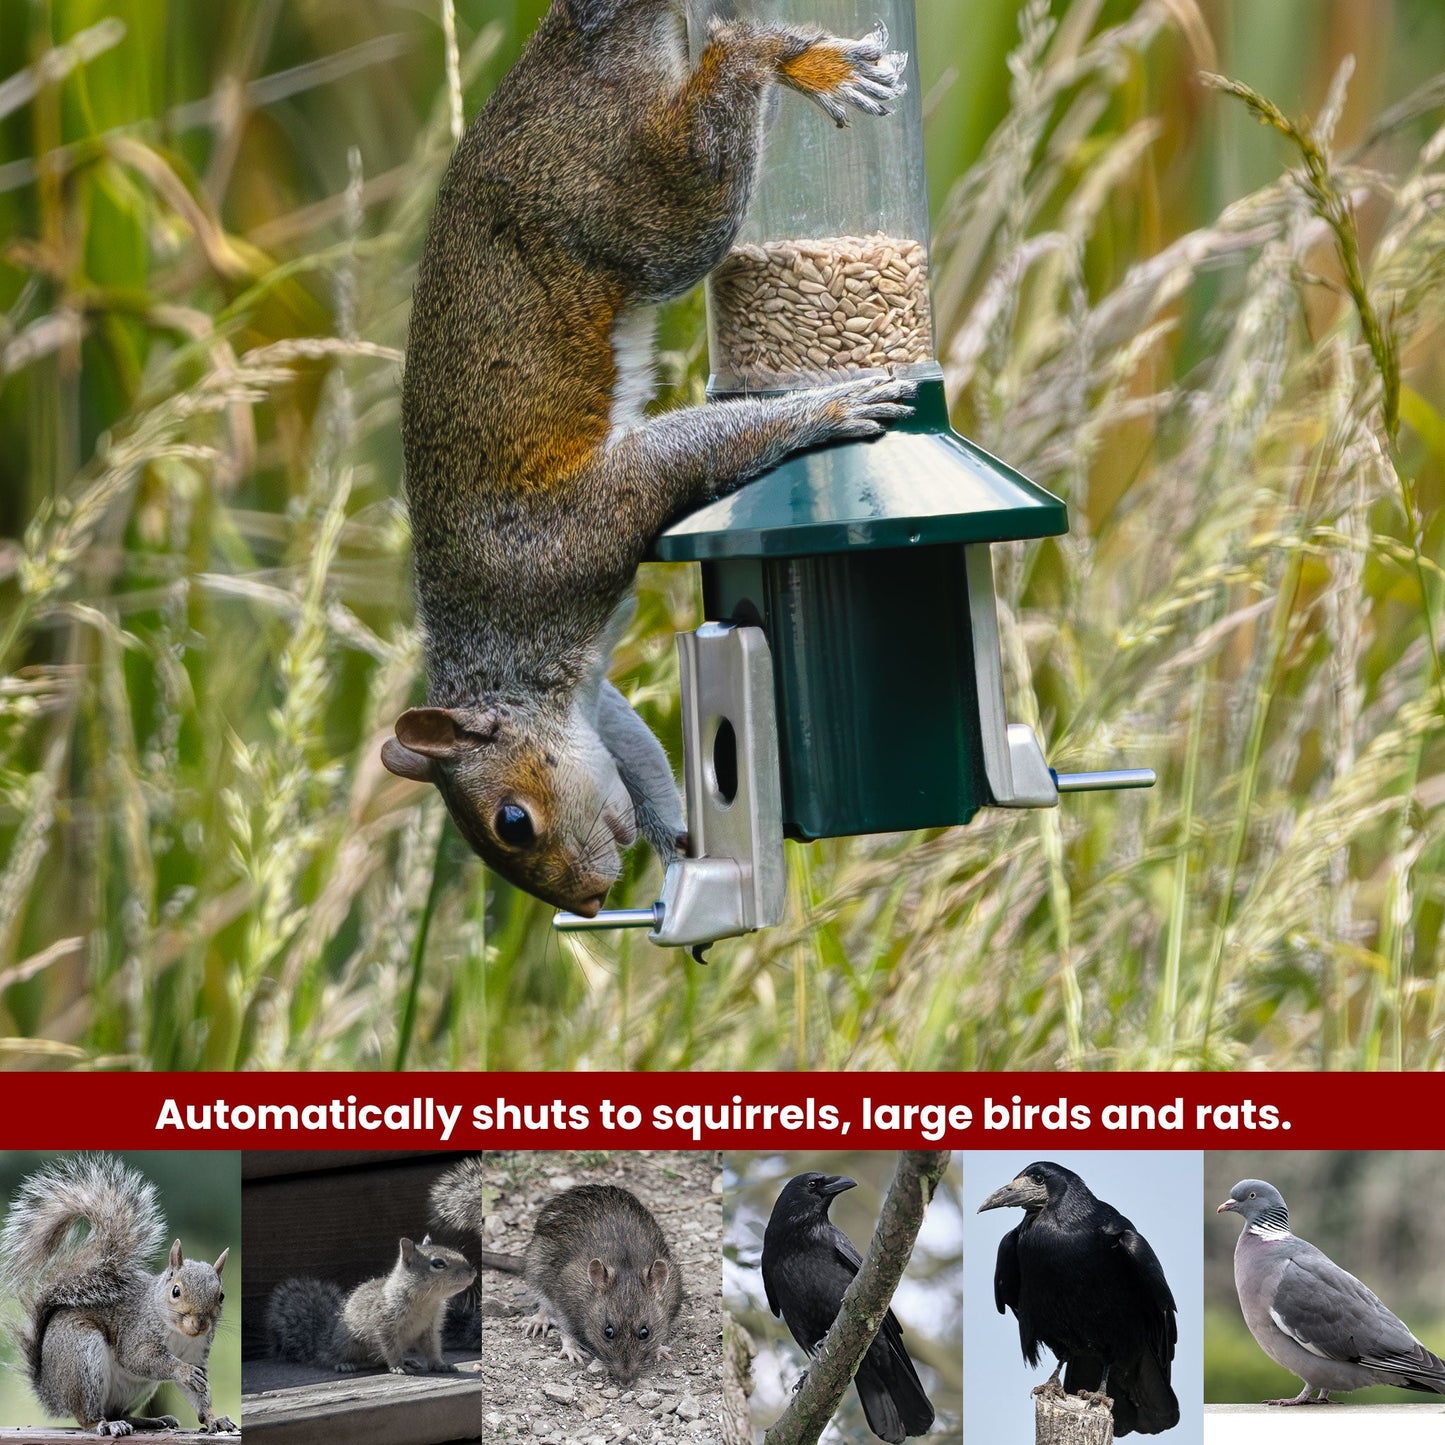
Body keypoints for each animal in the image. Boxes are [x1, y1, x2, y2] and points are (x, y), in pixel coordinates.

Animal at [0, 1153, 237, 1437]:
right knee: (87, 1415)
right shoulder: (137, 1332)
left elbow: (199, 1395)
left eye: (221, 1296)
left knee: (118, 1411)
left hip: (136, 1388)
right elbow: (140, 1358)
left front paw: (214, 1419)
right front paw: (183, 1371)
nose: (201, 1323)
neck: (178, 1332)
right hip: (82, 1358)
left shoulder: (197, 1352)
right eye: (176, 1291)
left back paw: (148, 1421)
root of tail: (51, 1391)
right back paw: (104, 1424)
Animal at [266, 1236, 476, 1375]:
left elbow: (432, 1348)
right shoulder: (385, 1324)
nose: (472, 1272)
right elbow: (390, 1348)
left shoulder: (430, 1329)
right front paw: (398, 1366)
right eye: (438, 1263)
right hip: (348, 1344)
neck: (426, 1300)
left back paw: (408, 1361)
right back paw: (346, 1364)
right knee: (336, 1357)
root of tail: (325, 1341)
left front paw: (440, 1364)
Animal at [384, 0, 915, 916]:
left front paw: (828, 408)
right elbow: (635, 753)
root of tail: (566, 47)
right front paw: (679, 842)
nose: (588, 902)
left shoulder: (577, 533)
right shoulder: (596, 706)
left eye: (511, 822)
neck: (503, 650)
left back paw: (792, 60)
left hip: (641, 201)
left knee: (724, 85)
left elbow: (684, 455)